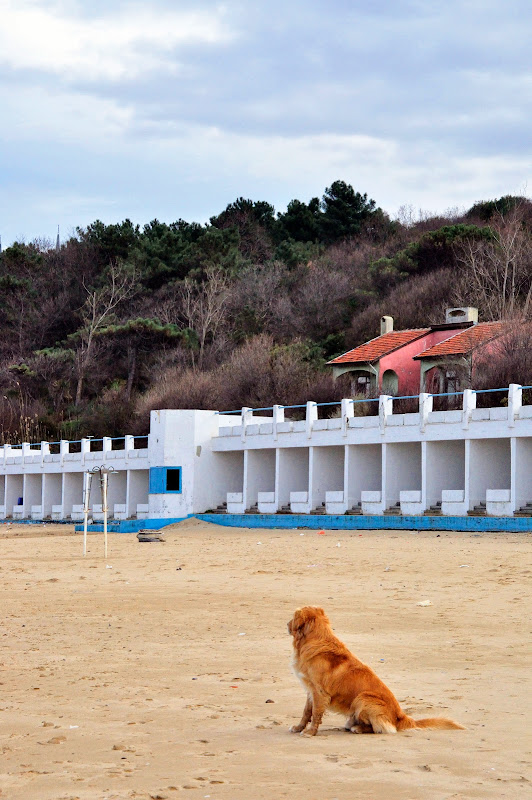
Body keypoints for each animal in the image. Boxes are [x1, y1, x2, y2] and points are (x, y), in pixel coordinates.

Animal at [286, 608, 466, 736]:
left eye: (293, 617)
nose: (286, 624)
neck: (314, 640)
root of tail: (401, 717)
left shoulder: (319, 692)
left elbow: (316, 713)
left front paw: (310, 732)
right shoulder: (310, 690)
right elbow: (306, 712)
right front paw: (298, 727)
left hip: (363, 698)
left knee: (380, 728)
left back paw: (358, 729)